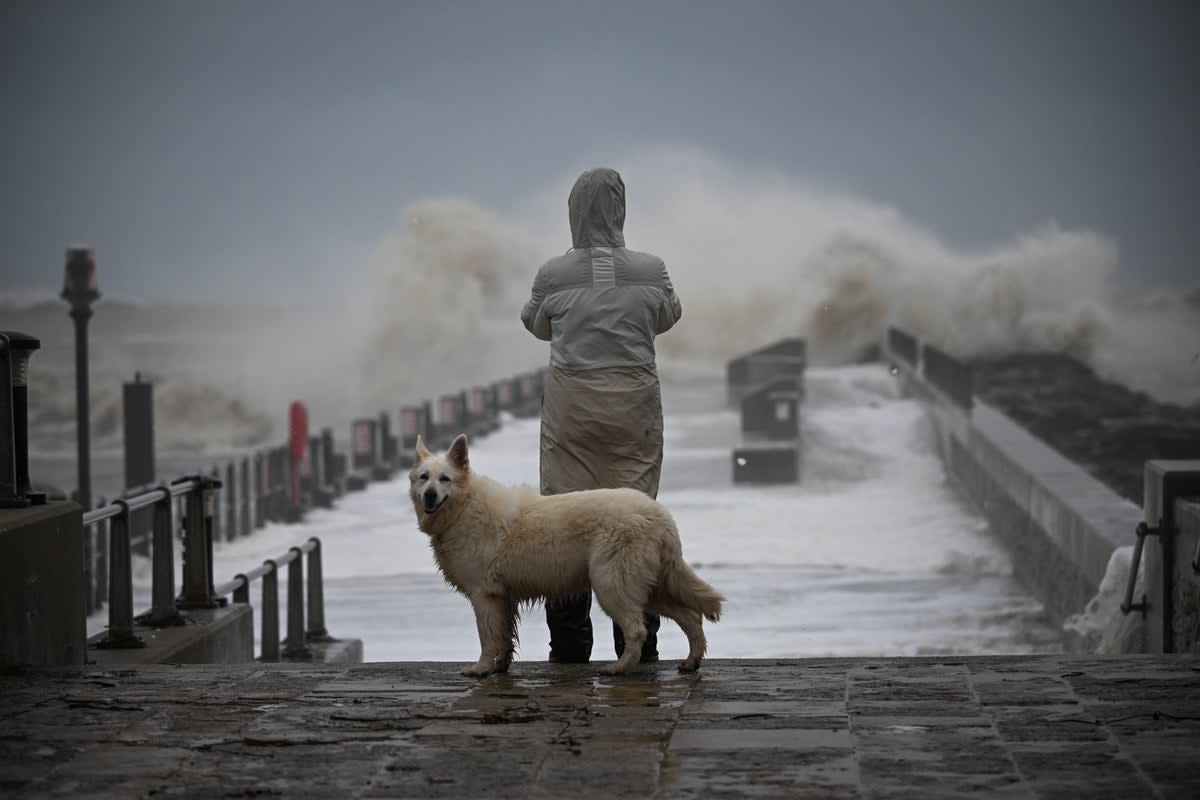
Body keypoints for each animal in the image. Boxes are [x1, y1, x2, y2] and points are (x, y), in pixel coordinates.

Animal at [412, 438, 724, 676]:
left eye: (445, 479)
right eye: (423, 477)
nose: (429, 495)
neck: (463, 507)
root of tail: (660, 515)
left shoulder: (484, 596)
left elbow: (488, 638)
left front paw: (481, 669)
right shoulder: (504, 597)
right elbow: (505, 638)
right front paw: (501, 667)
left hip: (611, 586)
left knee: (637, 630)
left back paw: (619, 668)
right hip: (650, 588)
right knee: (690, 617)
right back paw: (691, 661)